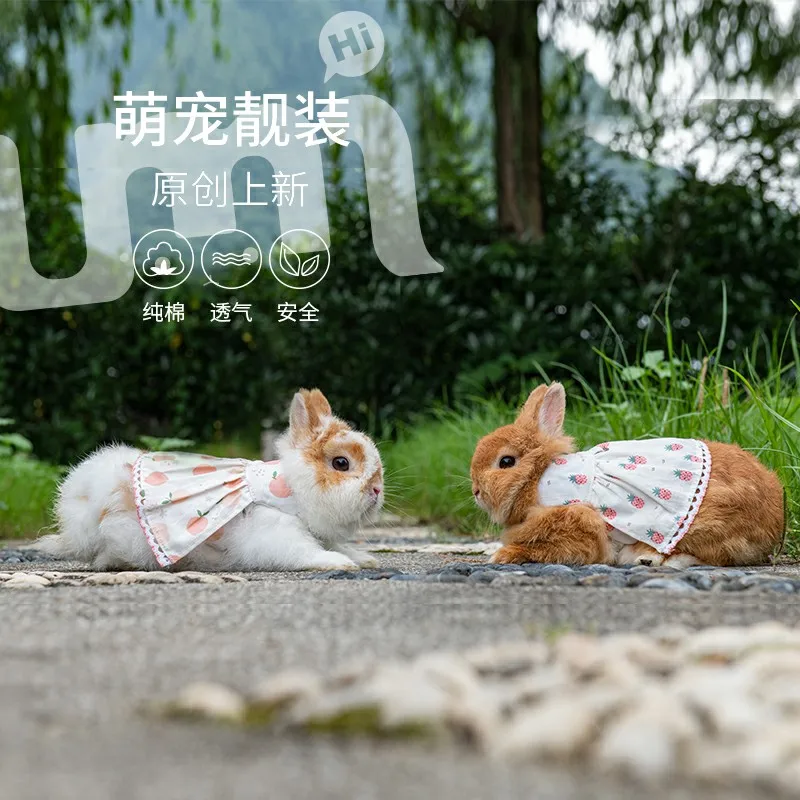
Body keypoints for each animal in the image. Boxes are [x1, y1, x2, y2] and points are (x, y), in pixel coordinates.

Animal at [37, 389, 384, 571]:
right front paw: (340, 563)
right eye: (341, 463)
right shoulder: (276, 534)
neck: (289, 492)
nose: (377, 489)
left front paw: (363, 559)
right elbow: (305, 553)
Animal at [470, 382, 785, 568]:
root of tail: (774, 518)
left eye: (506, 462)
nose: (475, 491)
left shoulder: (577, 523)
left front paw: (503, 555)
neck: (537, 478)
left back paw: (644, 558)